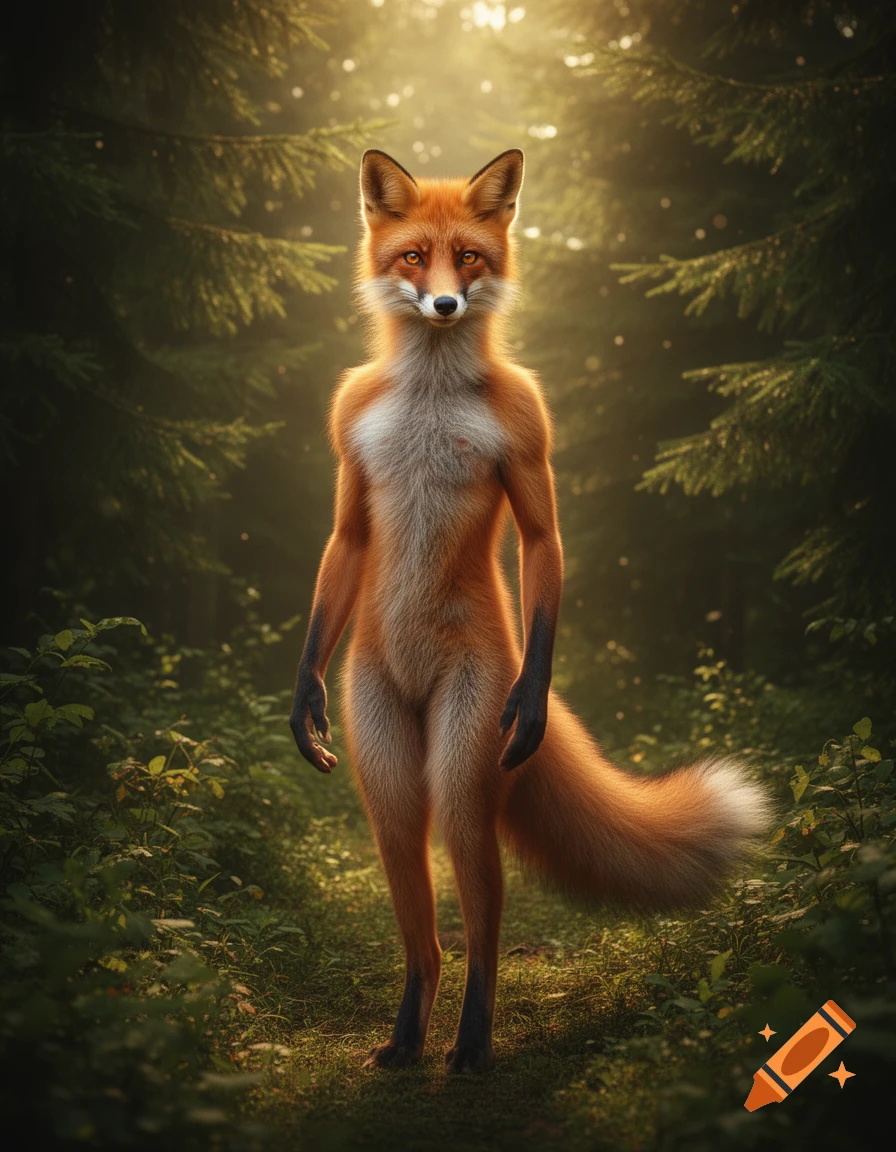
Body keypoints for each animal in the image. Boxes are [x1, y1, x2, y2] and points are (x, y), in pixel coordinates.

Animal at [289, 147, 769, 1073]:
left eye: (469, 258)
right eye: (415, 257)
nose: (444, 304)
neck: (430, 395)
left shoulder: (532, 436)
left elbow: (543, 540)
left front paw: (535, 708)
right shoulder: (346, 453)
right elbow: (342, 544)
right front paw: (302, 706)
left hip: (463, 759)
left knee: (476, 922)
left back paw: (471, 1045)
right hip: (388, 773)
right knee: (425, 938)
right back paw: (407, 1037)